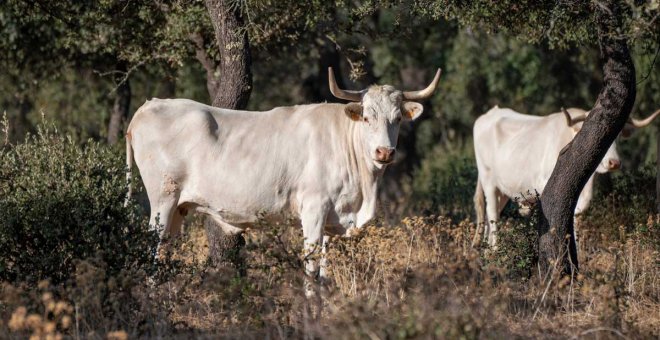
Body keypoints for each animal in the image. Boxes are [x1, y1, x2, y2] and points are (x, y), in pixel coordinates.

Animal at [126, 67, 440, 282]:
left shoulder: (332, 222)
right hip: (162, 201)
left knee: (164, 253)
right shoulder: (313, 211)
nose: (384, 152)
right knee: (152, 250)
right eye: (366, 117)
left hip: (177, 210)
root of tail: (149, 105)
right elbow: (310, 270)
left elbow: (324, 273)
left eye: (397, 118)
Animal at [472, 105, 656, 246]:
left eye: (617, 137)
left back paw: (488, 252)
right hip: (488, 180)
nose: (614, 163)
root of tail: (491, 113)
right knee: (493, 215)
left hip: (502, 190)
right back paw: (495, 249)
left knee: (489, 216)